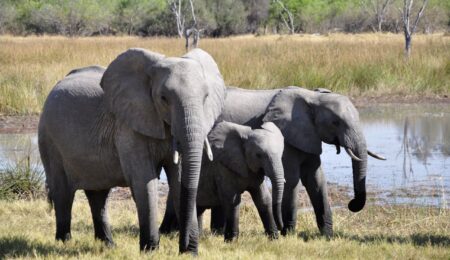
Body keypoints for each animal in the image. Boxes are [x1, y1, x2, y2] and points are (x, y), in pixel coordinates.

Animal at [39, 47, 225, 254]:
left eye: (206, 97)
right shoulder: (128, 126)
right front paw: (150, 251)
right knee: (63, 193)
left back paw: (108, 245)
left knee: (99, 195)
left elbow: (178, 179)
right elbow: (144, 180)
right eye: (163, 98)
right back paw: (64, 242)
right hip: (49, 139)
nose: (185, 248)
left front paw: (188, 252)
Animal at [160, 86, 384, 237]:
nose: (352, 204)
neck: (313, 97)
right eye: (336, 122)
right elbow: (292, 180)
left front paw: (327, 236)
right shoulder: (288, 136)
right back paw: (170, 232)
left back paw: (212, 232)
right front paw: (288, 234)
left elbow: (316, 179)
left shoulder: (308, 136)